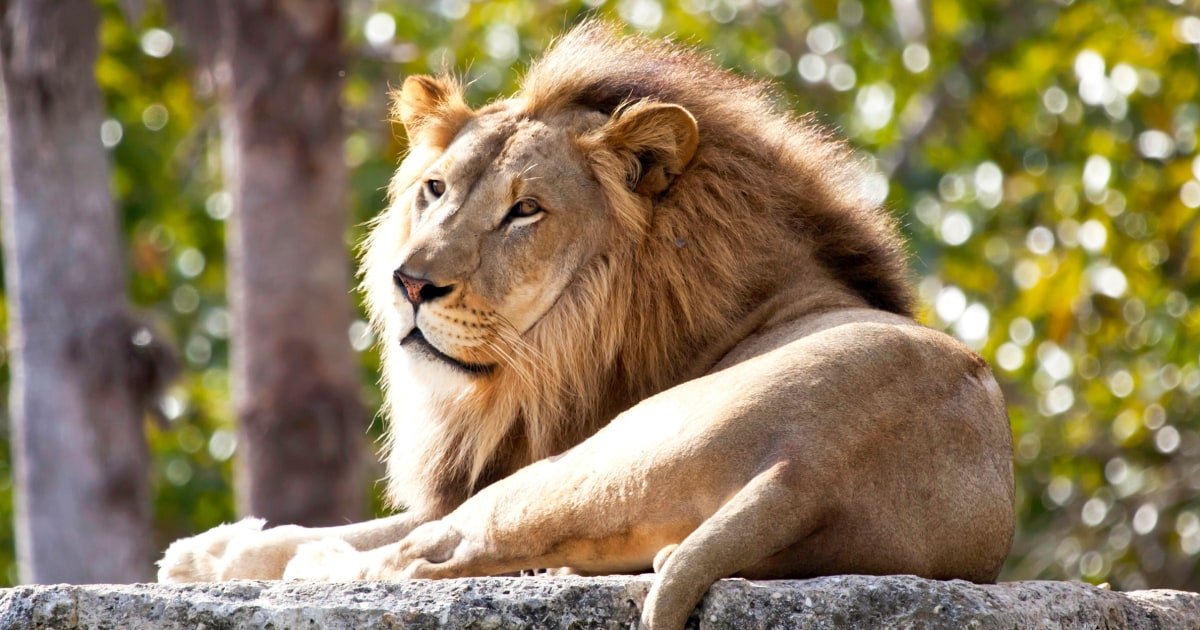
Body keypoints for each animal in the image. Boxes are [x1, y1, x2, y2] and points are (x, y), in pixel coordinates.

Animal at [157, 22, 1015, 629]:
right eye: (435, 189)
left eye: (525, 210)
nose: (411, 283)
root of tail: (806, 476)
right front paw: (204, 554)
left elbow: (373, 531)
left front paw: (215, 555)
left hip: (585, 462)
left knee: (421, 561)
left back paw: (316, 567)